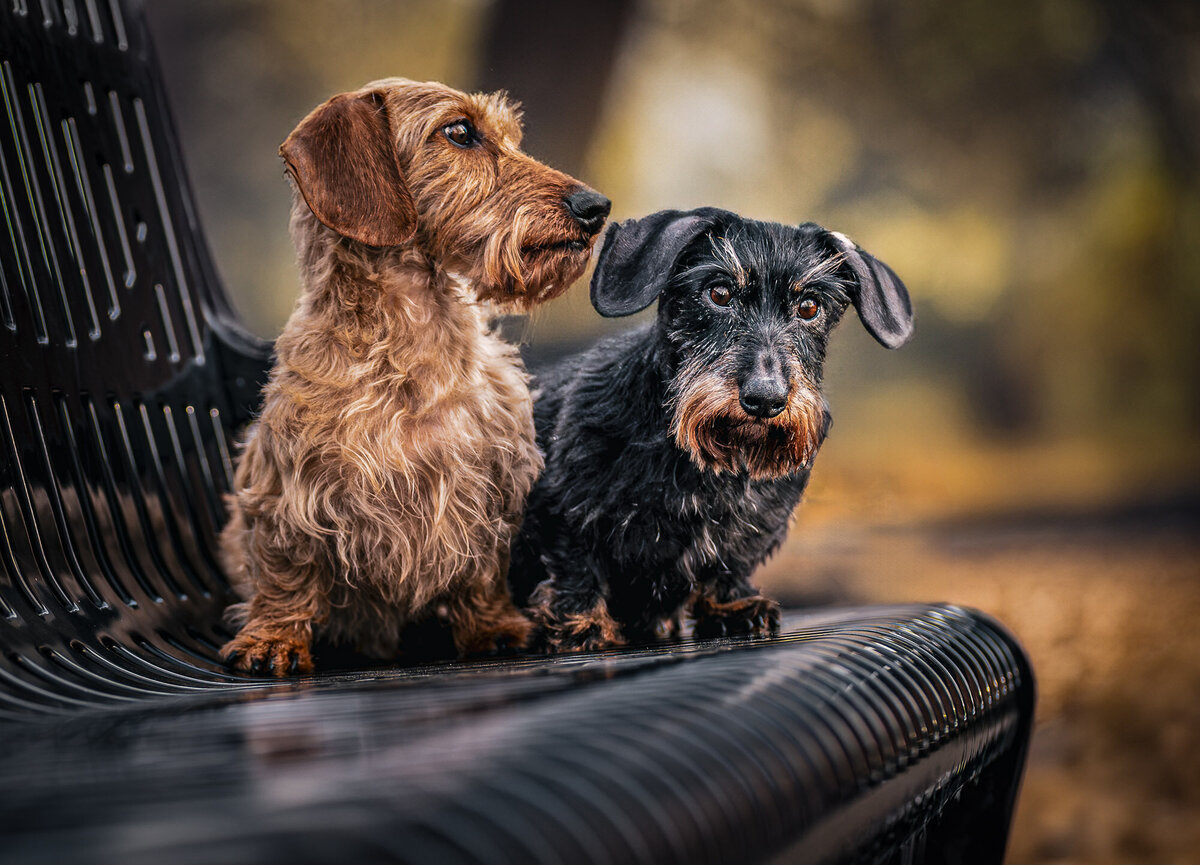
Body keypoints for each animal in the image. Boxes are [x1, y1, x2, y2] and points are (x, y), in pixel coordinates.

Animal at [219, 79, 609, 676]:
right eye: (460, 131)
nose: (597, 208)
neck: (406, 340)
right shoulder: (286, 492)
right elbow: (285, 572)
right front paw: (272, 639)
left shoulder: (491, 484)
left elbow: (482, 570)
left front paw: (494, 629)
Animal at [511, 206, 912, 647]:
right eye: (718, 293)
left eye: (809, 306)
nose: (765, 398)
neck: (700, 460)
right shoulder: (563, 511)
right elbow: (575, 569)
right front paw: (583, 625)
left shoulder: (753, 532)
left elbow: (728, 566)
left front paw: (731, 607)